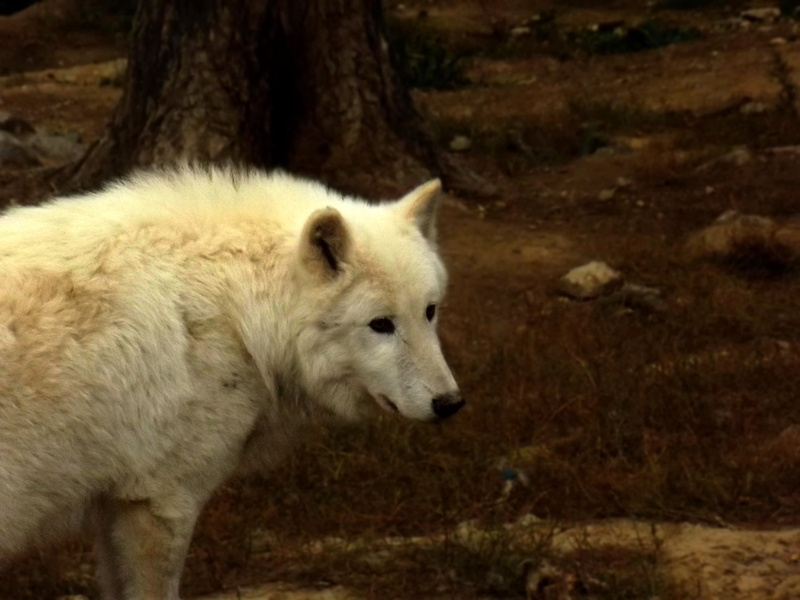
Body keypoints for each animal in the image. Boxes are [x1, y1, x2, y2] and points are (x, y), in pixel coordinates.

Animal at [0, 166, 463, 599]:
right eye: (380, 324)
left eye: (430, 311)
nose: (450, 403)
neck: (237, 315)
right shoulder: (161, 501)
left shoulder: (118, 504)